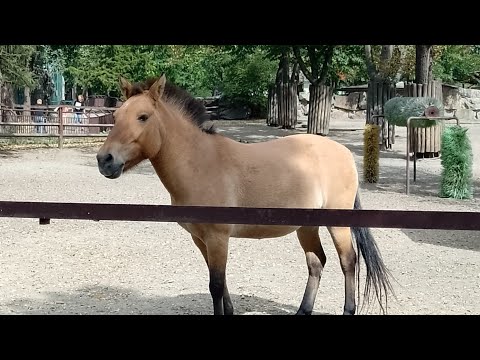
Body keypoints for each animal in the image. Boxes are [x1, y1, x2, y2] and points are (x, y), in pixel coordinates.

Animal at [96, 74, 394, 314]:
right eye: (116, 117)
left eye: (143, 117)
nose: (104, 160)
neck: (201, 163)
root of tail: (344, 152)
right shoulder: (200, 240)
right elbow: (221, 283)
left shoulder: (218, 238)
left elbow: (216, 285)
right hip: (306, 226)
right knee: (316, 263)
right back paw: (303, 310)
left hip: (337, 224)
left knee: (348, 262)